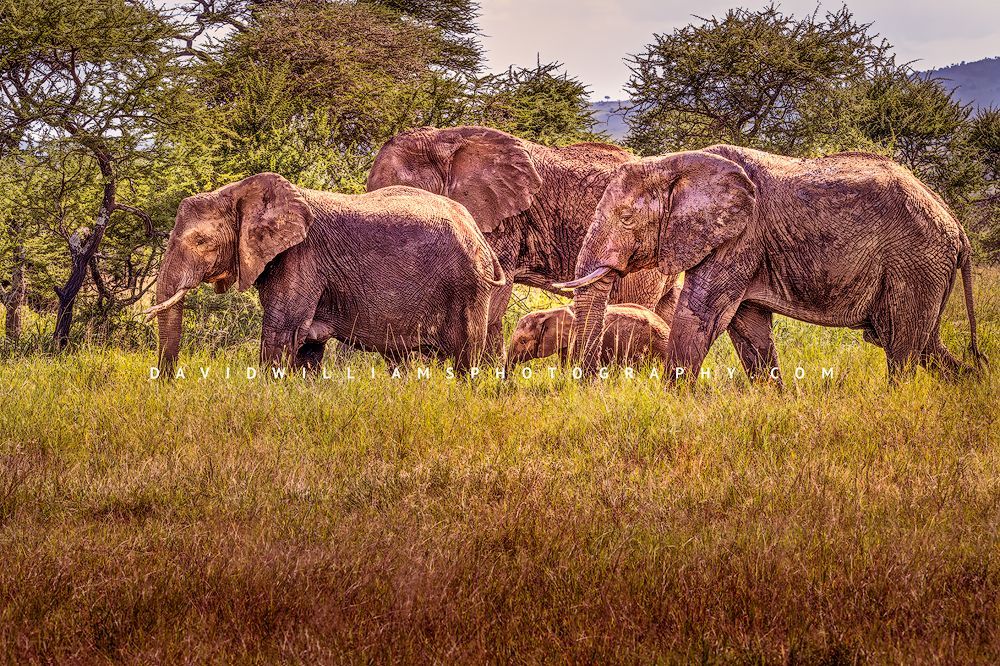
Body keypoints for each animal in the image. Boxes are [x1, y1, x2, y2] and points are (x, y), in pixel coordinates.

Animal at [146, 173, 506, 376]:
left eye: (201, 242)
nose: (168, 382)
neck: (239, 192)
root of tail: (477, 232)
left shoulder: (302, 258)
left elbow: (281, 332)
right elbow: (307, 345)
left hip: (467, 287)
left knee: (465, 360)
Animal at [555, 145, 985, 381]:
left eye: (627, 218)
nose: (588, 384)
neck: (673, 163)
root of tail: (957, 228)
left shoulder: (739, 238)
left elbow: (699, 317)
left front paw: (670, 407)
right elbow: (749, 329)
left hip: (915, 261)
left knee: (903, 347)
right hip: (925, 267)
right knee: (924, 344)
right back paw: (974, 384)